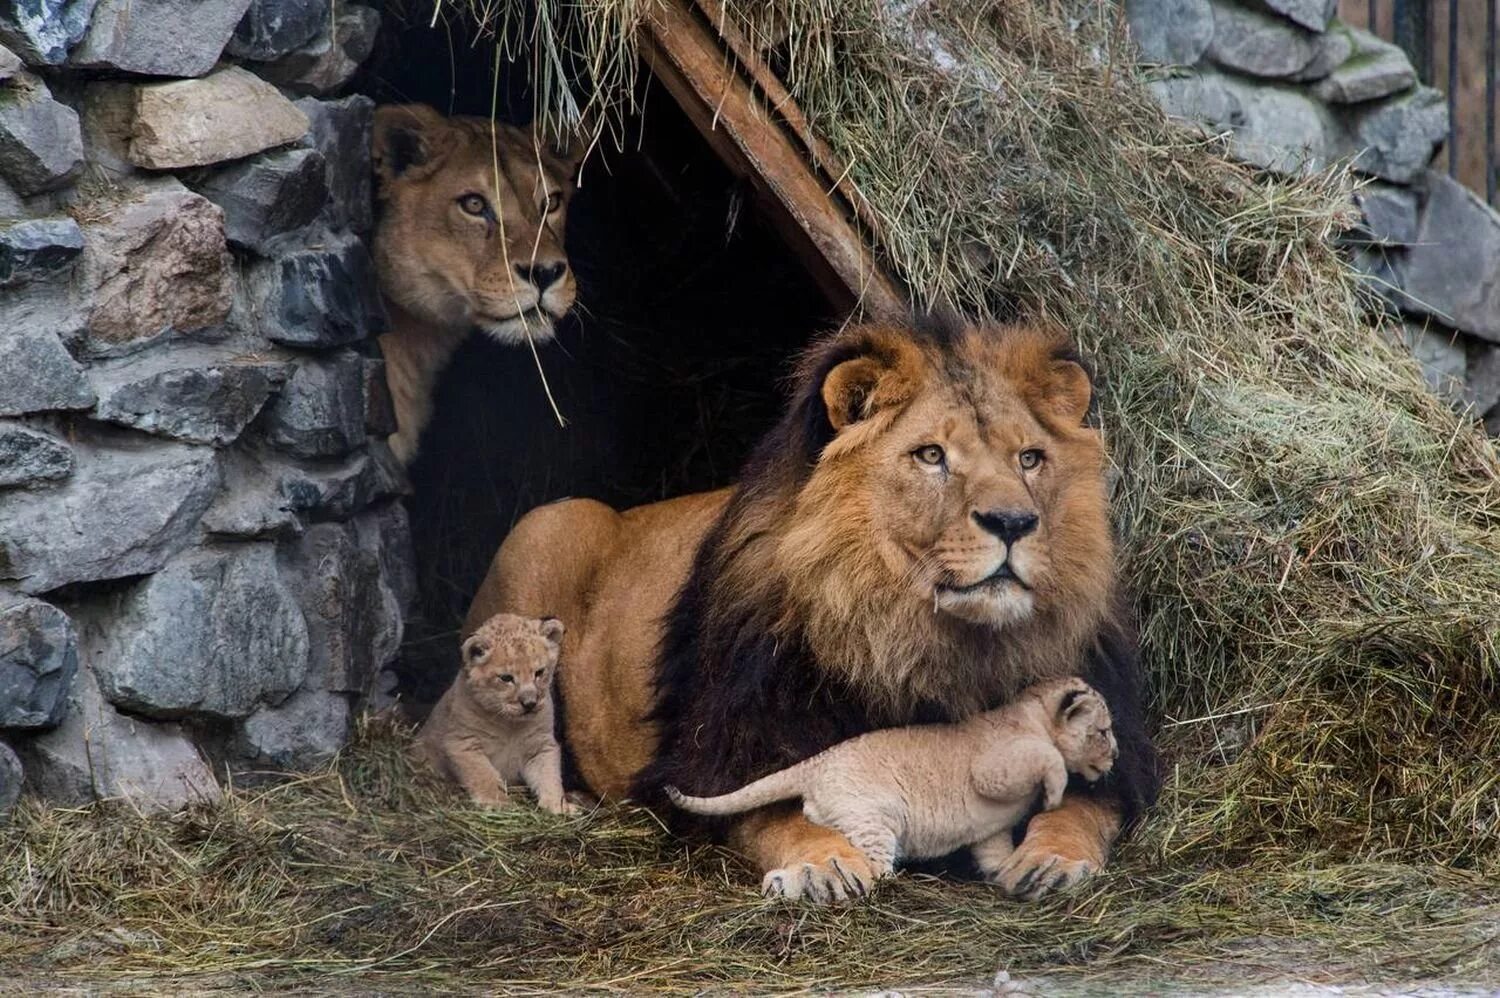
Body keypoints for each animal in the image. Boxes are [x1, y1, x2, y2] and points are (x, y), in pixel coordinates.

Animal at [465, 315, 1158, 900]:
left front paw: (1052, 857)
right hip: (546, 523)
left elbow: (1086, 804)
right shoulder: (727, 750)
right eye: (931, 455)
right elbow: (775, 811)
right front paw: (822, 862)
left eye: (1030, 458)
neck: (925, 640)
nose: (1014, 522)